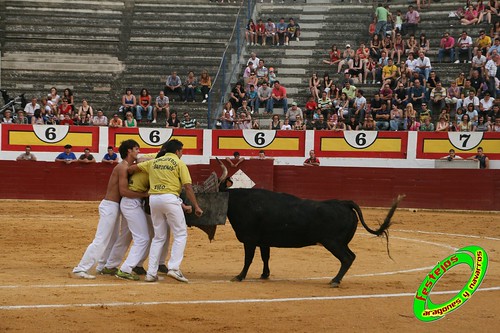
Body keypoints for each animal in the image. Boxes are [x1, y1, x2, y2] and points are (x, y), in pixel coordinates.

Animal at [225, 188, 404, 286]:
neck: (239, 201)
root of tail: (344, 203)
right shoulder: (263, 241)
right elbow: (265, 257)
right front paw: (264, 275)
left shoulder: (249, 239)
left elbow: (248, 259)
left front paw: (239, 276)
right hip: (340, 243)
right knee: (351, 256)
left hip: (333, 242)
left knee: (347, 258)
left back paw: (334, 280)